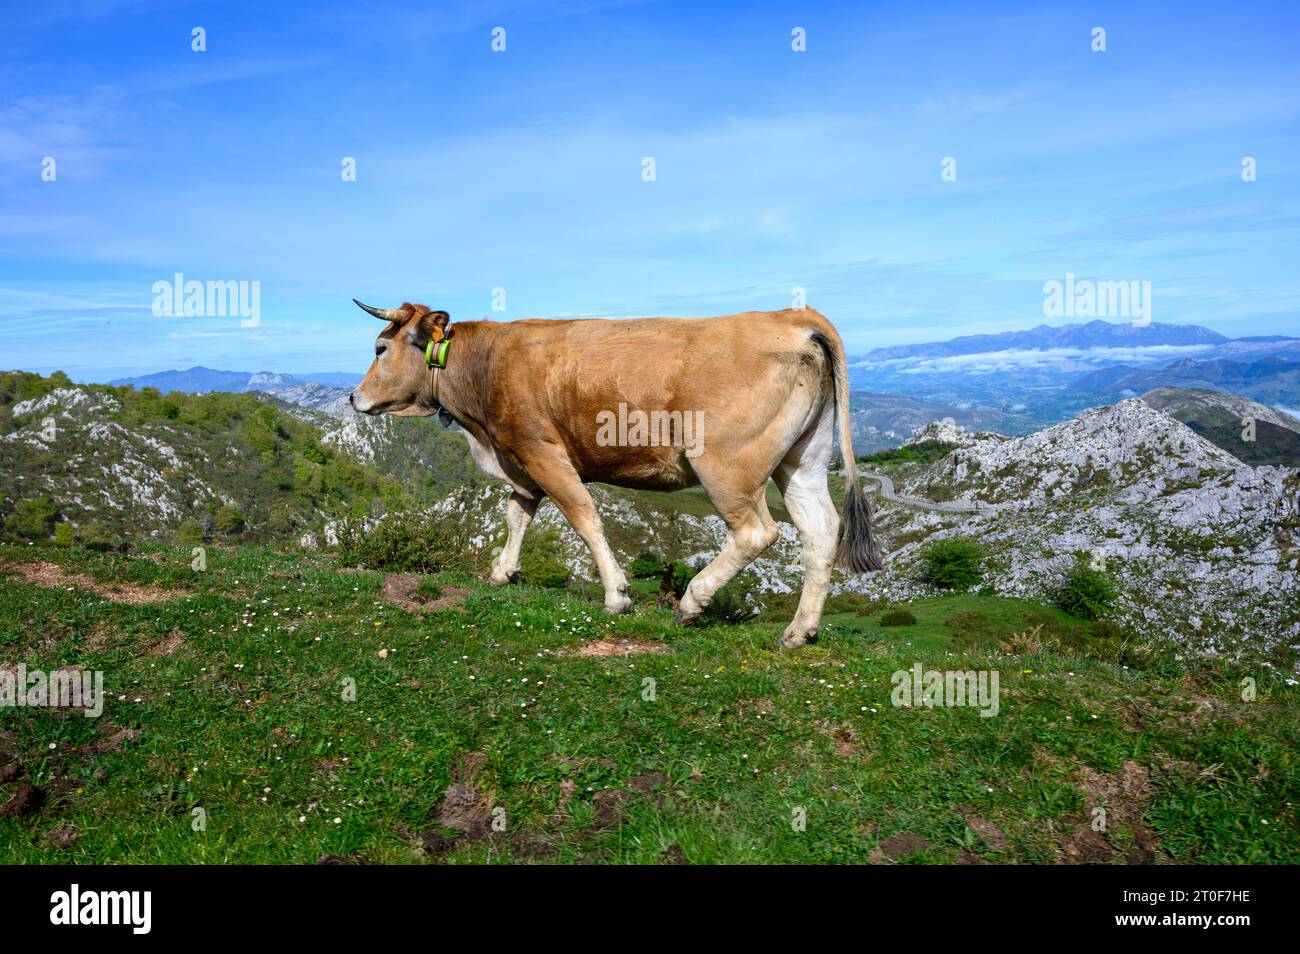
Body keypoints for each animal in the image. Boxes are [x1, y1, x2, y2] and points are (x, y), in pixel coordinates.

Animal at [348, 300, 882, 647]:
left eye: (379, 349)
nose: (353, 397)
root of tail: (792, 317)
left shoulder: (540, 451)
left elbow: (583, 518)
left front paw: (617, 595)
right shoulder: (519, 460)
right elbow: (517, 515)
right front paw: (502, 572)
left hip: (726, 463)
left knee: (757, 531)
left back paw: (692, 602)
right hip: (804, 458)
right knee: (820, 530)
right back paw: (799, 631)